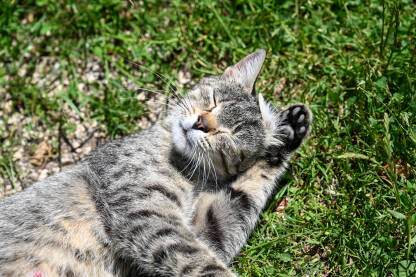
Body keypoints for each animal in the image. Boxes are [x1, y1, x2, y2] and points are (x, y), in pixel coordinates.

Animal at [0, 50, 312, 276]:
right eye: (213, 100)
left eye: (229, 136)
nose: (201, 123)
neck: (184, 170)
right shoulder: (148, 217)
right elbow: (202, 265)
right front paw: (287, 128)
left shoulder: (204, 231)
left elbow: (243, 195)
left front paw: (288, 133)